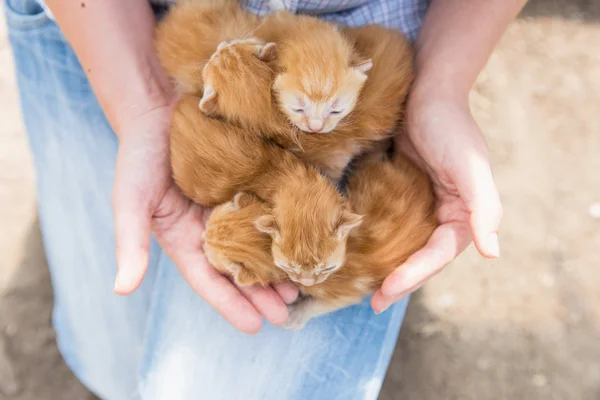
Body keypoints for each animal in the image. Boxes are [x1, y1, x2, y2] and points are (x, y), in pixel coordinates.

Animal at [202, 148, 436, 330]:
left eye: (208, 243)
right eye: (210, 229)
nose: (203, 236)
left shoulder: (347, 290)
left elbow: (323, 304)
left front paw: (295, 314)